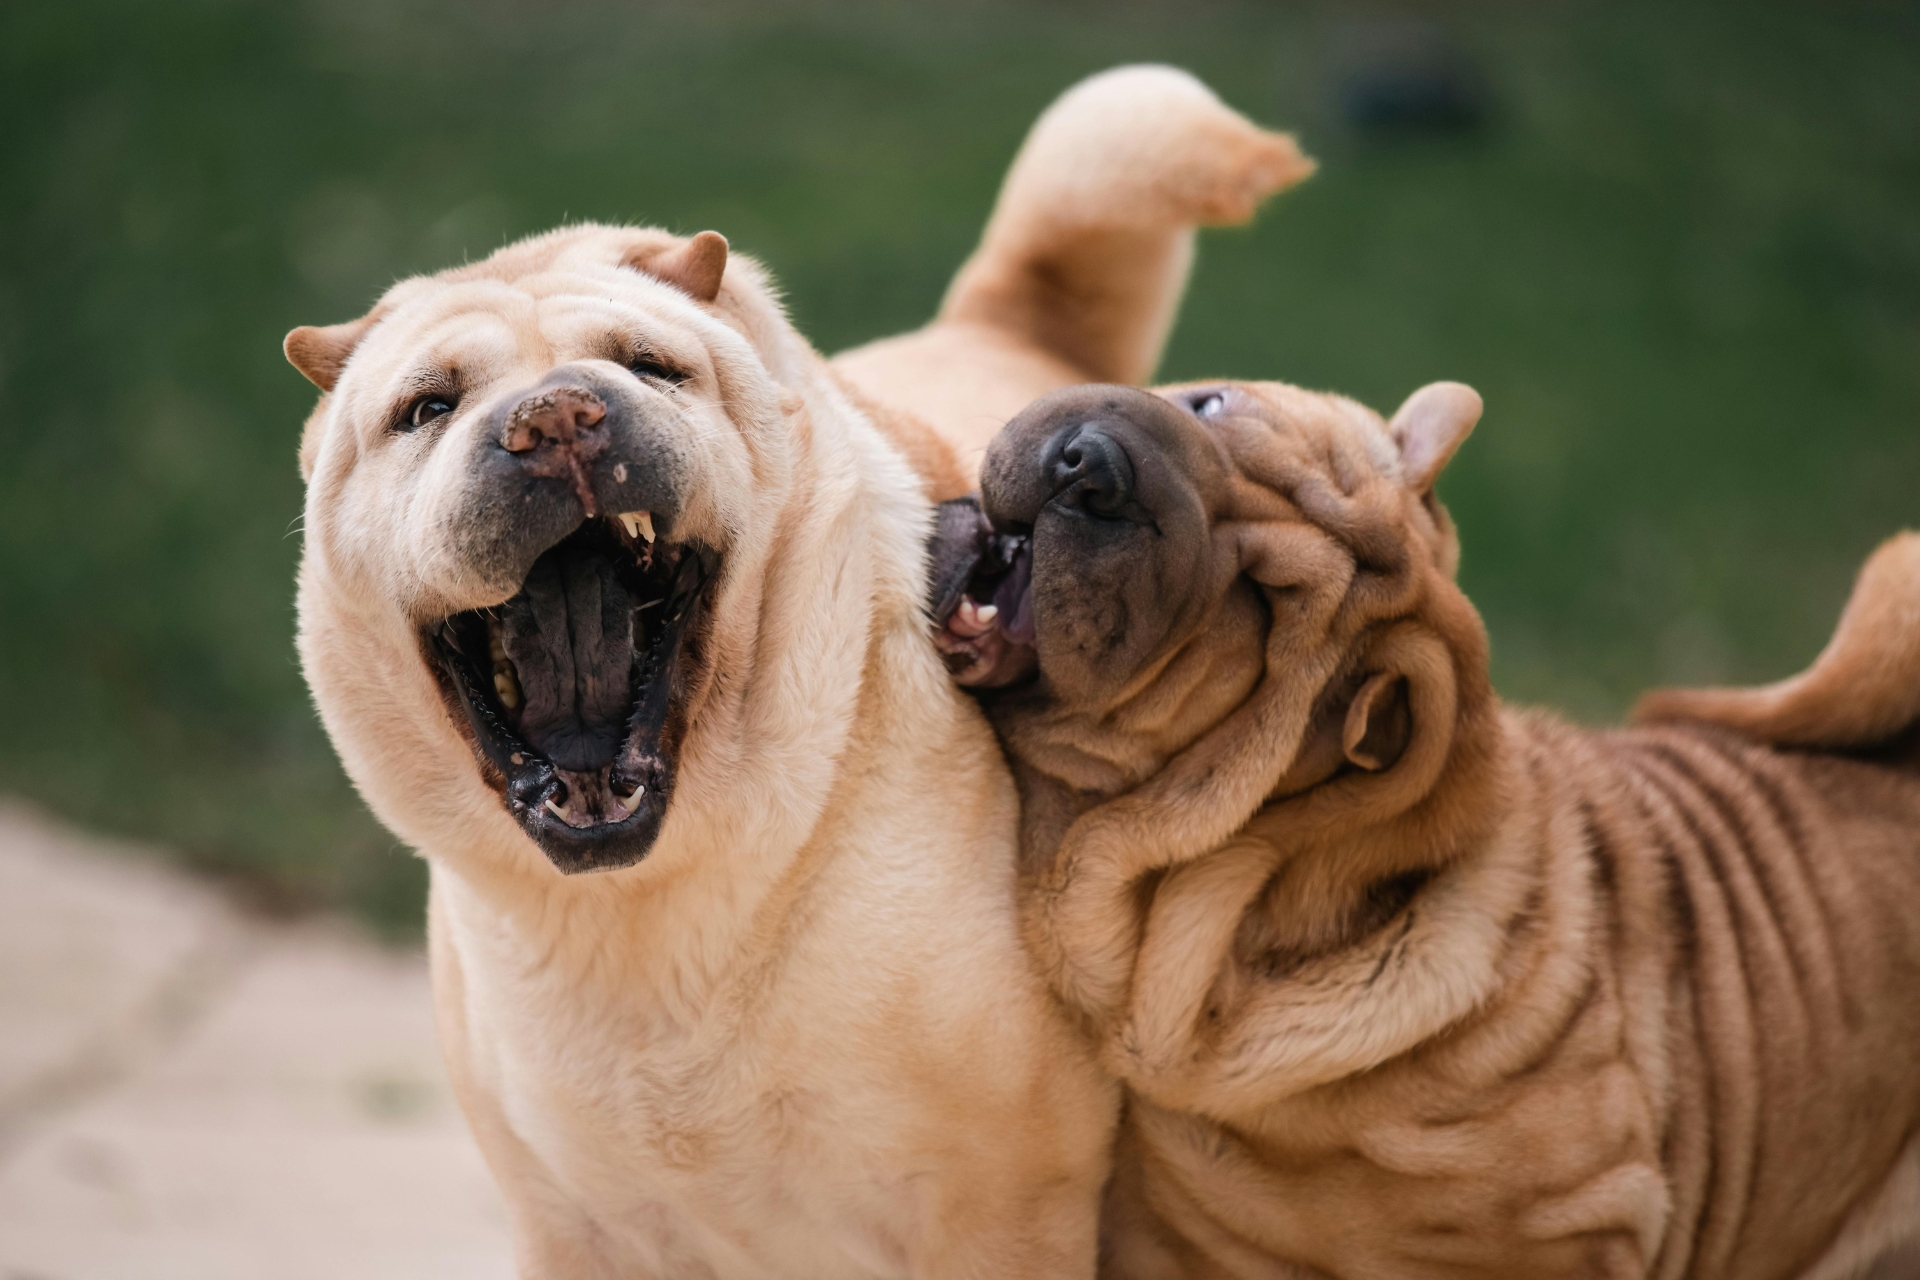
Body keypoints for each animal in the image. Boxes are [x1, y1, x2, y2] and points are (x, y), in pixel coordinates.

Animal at [284, 67, 1320, 1280]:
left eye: (649, 367)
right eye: (426, 408)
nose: (557, 418)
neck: (647, 912)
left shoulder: (997, 1211)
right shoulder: (574, 1228)